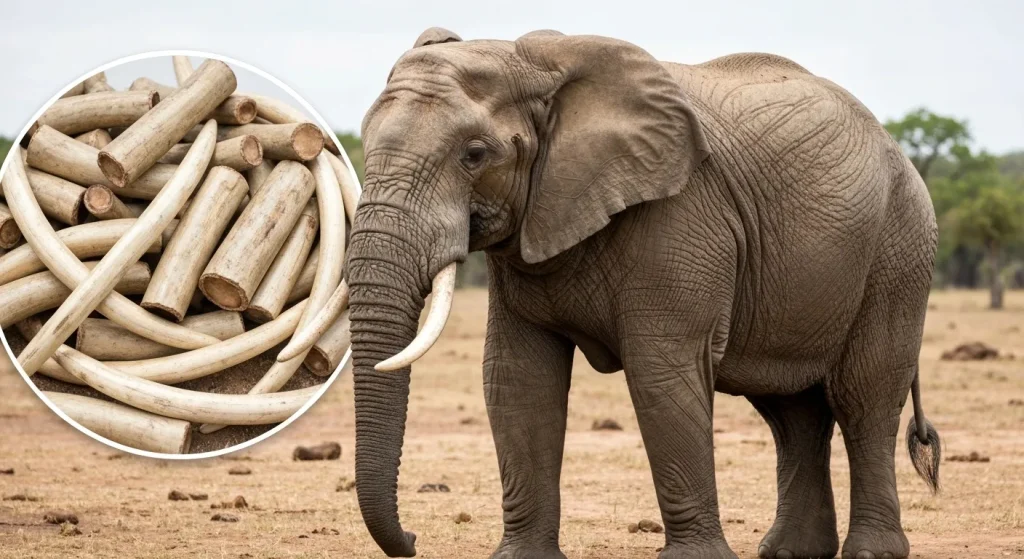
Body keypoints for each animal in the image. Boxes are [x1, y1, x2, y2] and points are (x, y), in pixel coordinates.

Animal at [344, 28, 942, 559]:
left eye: (474, 154)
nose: (413, 539)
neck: (537, 65)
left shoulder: (681, 214)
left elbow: (662, 371)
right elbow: (517, 379)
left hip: (899, 245)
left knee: (864, 398)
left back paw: (872, 552)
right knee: (791, 411)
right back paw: (791, 552)